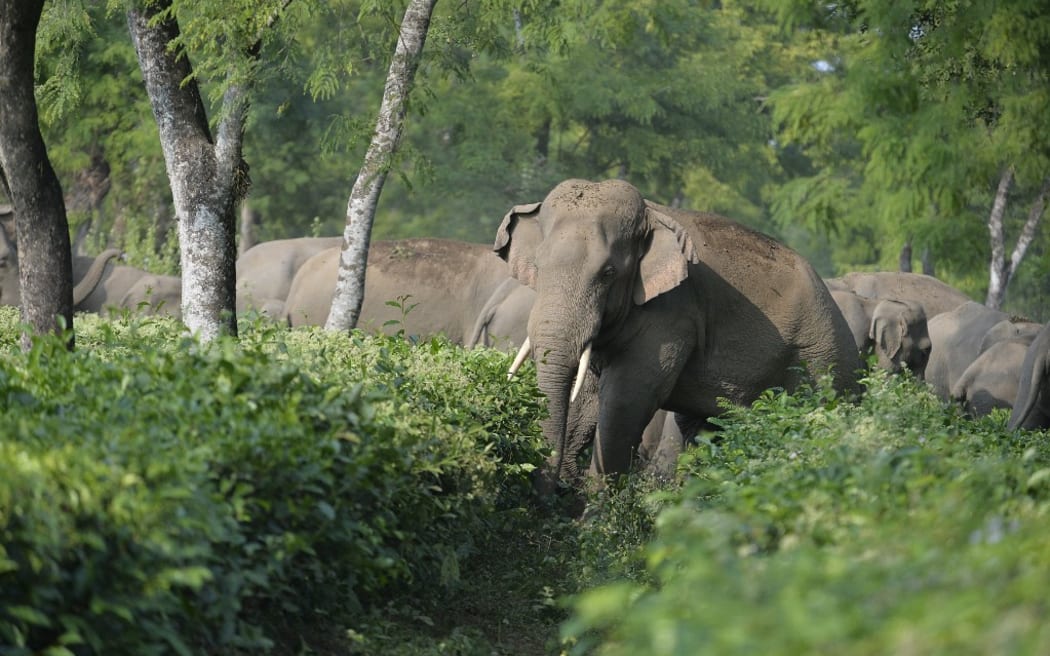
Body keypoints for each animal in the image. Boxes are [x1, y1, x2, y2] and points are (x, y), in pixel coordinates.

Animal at [496, 178, 862, 487]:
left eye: (608, 273)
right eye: (538, 266)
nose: (549, 488)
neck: (650, 214)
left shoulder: (672, 312)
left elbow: (625, 401)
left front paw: (597, 519)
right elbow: (586, 397)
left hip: (821, 362)